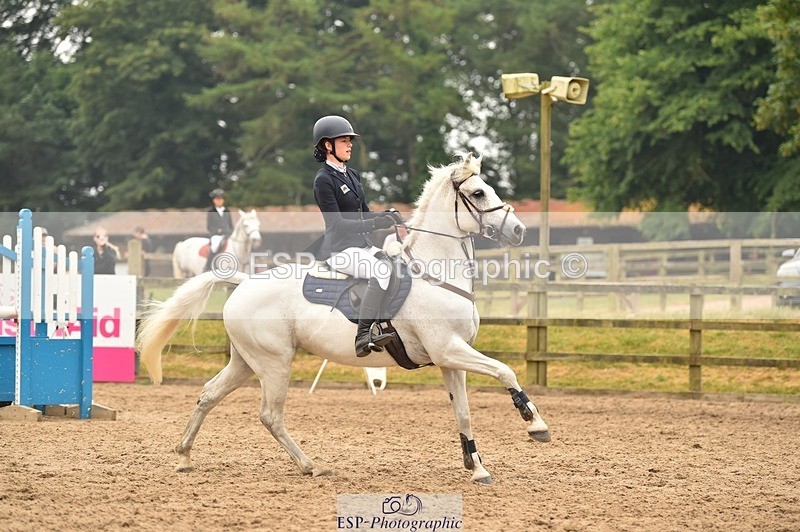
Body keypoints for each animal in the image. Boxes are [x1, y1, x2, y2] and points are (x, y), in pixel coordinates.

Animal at [137, 152, 550, 484]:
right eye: (478, 193)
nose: (518, 230)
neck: (434, 273)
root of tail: (242, 282)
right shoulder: (449, 349)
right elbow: (505, 371)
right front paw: (535, 424)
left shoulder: (450, 358)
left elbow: (463, 413)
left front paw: (477, 467)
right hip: (274, 363)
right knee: (270, 415)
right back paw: (311, 466)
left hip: (246, 361)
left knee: (208, 395)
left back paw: (184, 457)